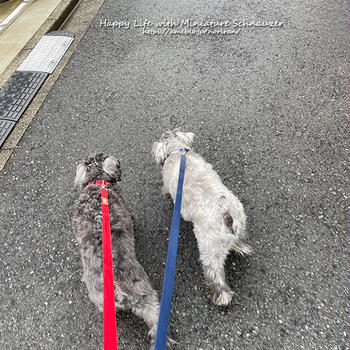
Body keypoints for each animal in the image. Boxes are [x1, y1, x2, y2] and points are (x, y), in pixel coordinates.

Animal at [152, 129, 252, 306]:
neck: (178, 151)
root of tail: (226, 214)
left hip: (209, 248)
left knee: (214, 273)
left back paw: (221, 298)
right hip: (239, 222)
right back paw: (241, 247)